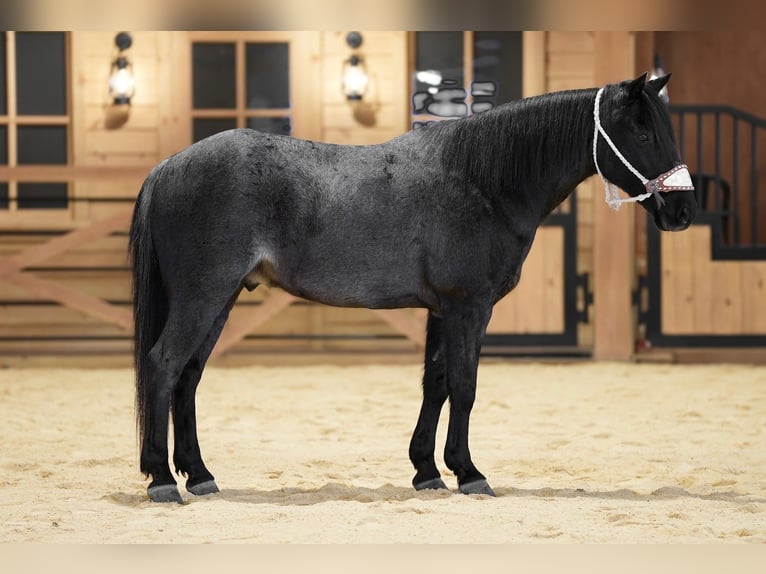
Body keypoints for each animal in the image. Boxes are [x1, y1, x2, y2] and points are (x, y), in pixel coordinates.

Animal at [129, 73, 697, 503]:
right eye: (642, 132)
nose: (683, 210)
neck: (482, 181)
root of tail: (167, 166)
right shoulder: (469, 308)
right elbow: (465, 387)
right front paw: (469, 473)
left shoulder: (442, 311)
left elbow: (436, 384)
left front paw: (427, 471)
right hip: (203, 296)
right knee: (163, 365)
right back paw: (162, 480)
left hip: (219, 300)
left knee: (188, 378)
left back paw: (200, 476)